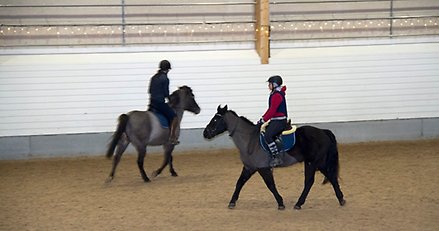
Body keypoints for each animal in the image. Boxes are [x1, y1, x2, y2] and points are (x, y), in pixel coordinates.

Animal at [204, 105, 348, 210]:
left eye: (215, 120)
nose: (205, 133)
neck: (249, 140)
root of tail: (323, 132)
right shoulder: (249, 167)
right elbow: (239, 183)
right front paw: (232, 202)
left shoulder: (263, 168)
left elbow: (270, 185)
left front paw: (280, 203)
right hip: (320, 163)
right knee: (331, 177)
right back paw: (341, 199)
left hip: (311, 163)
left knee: (309, 182)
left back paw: (299, 203)